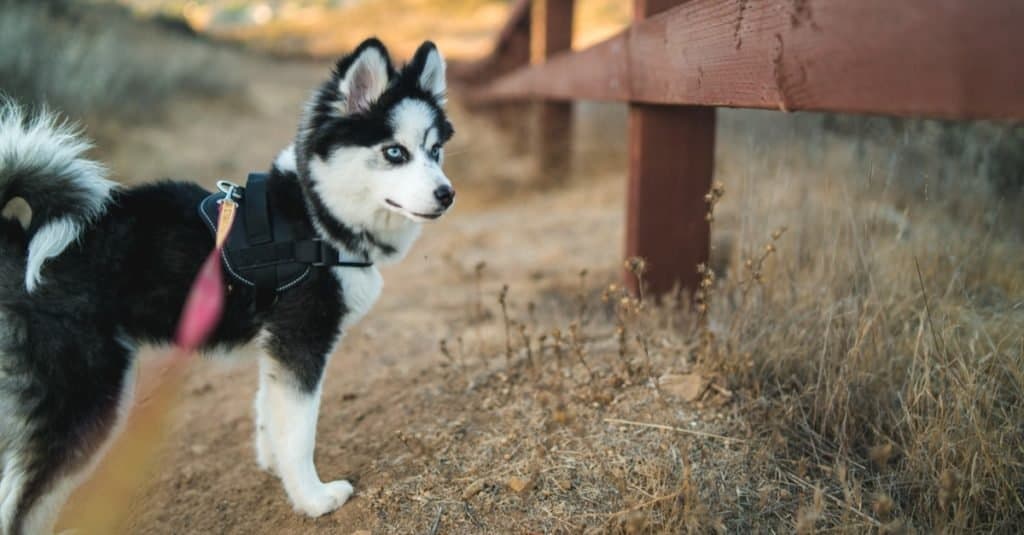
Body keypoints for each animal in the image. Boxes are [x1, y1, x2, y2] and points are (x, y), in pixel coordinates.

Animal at [0, 38, 452, 532]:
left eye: (435, 151)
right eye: (395, 152)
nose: (447, 194)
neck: (316, 214)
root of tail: (21, 240)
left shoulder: (277, 345)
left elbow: (269, 412)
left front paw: (276, 467)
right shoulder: (302, 340)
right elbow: (300, 431)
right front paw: (313, 498)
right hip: (85, 395)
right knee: (20, 498)